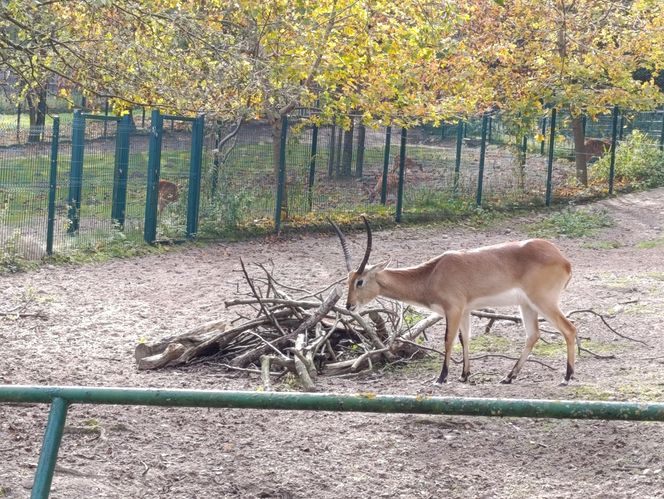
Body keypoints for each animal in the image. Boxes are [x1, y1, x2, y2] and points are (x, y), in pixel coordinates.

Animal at [330, 217, 576, 384]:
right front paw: (465, 375)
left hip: (543, 302)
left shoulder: (453, 308)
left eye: (360, 281)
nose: (349, 305)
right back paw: (508, 377)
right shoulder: (465, 310)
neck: (432, 274)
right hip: (527, 305)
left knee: (569, 329)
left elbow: (448, 340)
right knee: (533, 335)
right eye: (348, 280)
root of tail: (563, 259)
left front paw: (442, 377)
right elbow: (464, 338)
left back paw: (567, 377)